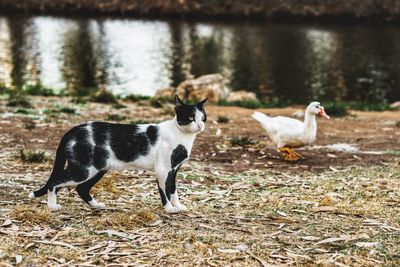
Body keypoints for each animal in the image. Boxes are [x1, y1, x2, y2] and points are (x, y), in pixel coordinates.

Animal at [29, 95, 208, 215]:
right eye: (190, 117)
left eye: (203, 118)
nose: (200, 126)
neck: (181, 135)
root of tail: (73, 130)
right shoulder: (163, 169)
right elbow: (164, 190)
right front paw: (169, 208)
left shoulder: (174, 170)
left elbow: (173, 190)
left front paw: (178, 205)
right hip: (83, 170)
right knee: (54, 182)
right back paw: (52, 206)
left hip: (98, 169)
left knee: (81, 188)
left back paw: (96, 206)